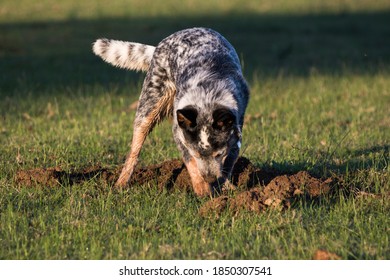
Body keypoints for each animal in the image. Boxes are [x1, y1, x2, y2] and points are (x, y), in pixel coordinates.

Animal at [93, 27, 248, 196]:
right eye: (195, 153)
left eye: (218, 154)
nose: (209, 179)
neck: (208, 93)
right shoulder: (179, 133)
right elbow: (191, 162)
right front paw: (202, 190)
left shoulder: (236, 134)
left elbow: (228, 164)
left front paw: (224, 188)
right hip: (148, 108)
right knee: (134, 152)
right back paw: (121, 183)